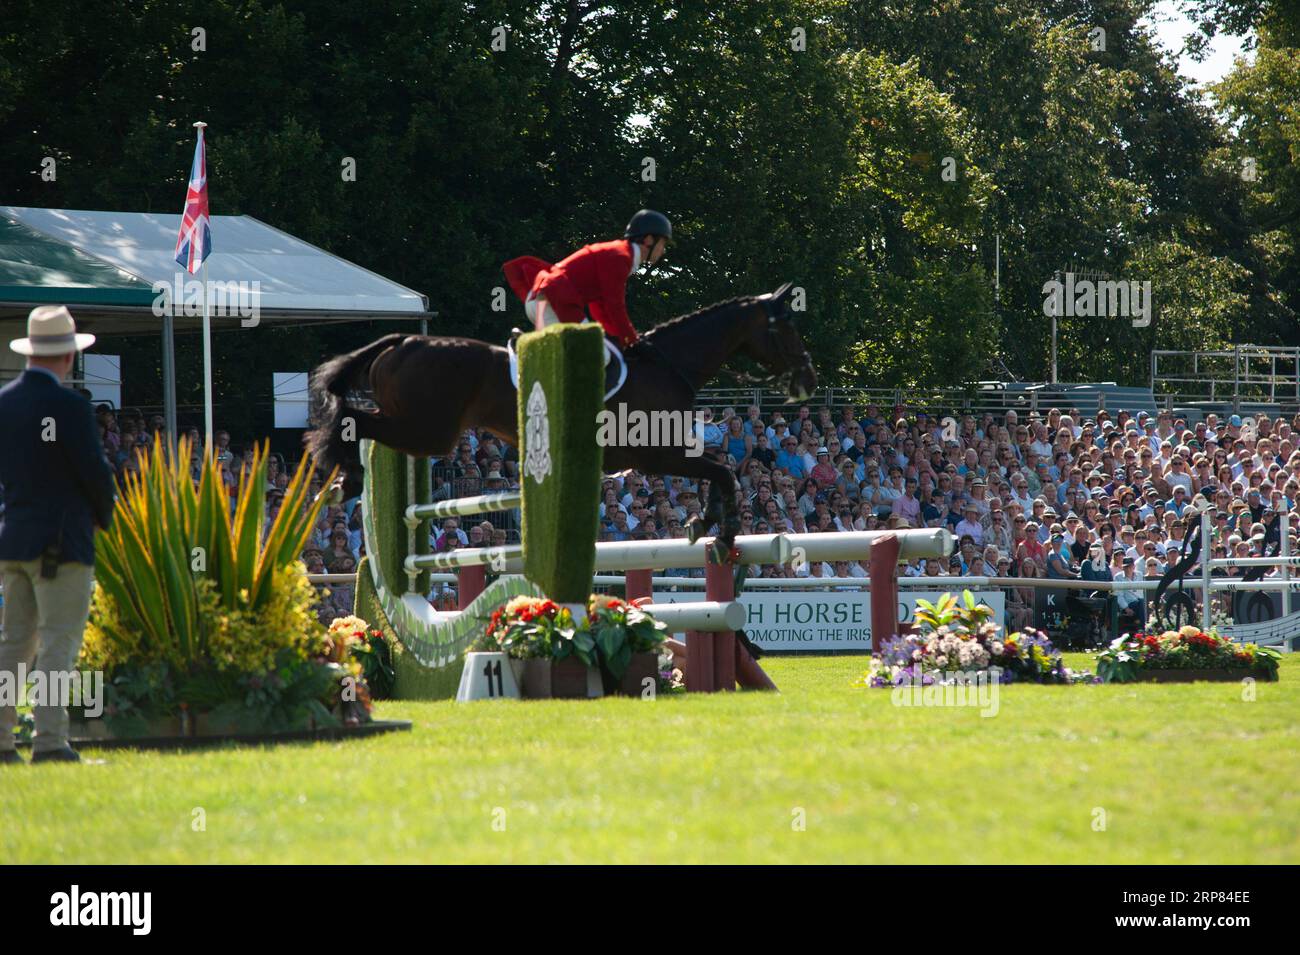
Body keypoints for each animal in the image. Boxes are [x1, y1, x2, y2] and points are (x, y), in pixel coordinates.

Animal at [304, 281, 811, 545]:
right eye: (787, 327)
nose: (808, 379)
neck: (667, 364)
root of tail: (404, 339)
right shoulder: (655, 456)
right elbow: (721, 470)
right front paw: (720, 527)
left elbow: (716, 470)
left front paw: (704, 521)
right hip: (429, 431)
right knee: (355, 422)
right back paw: (345, 478)